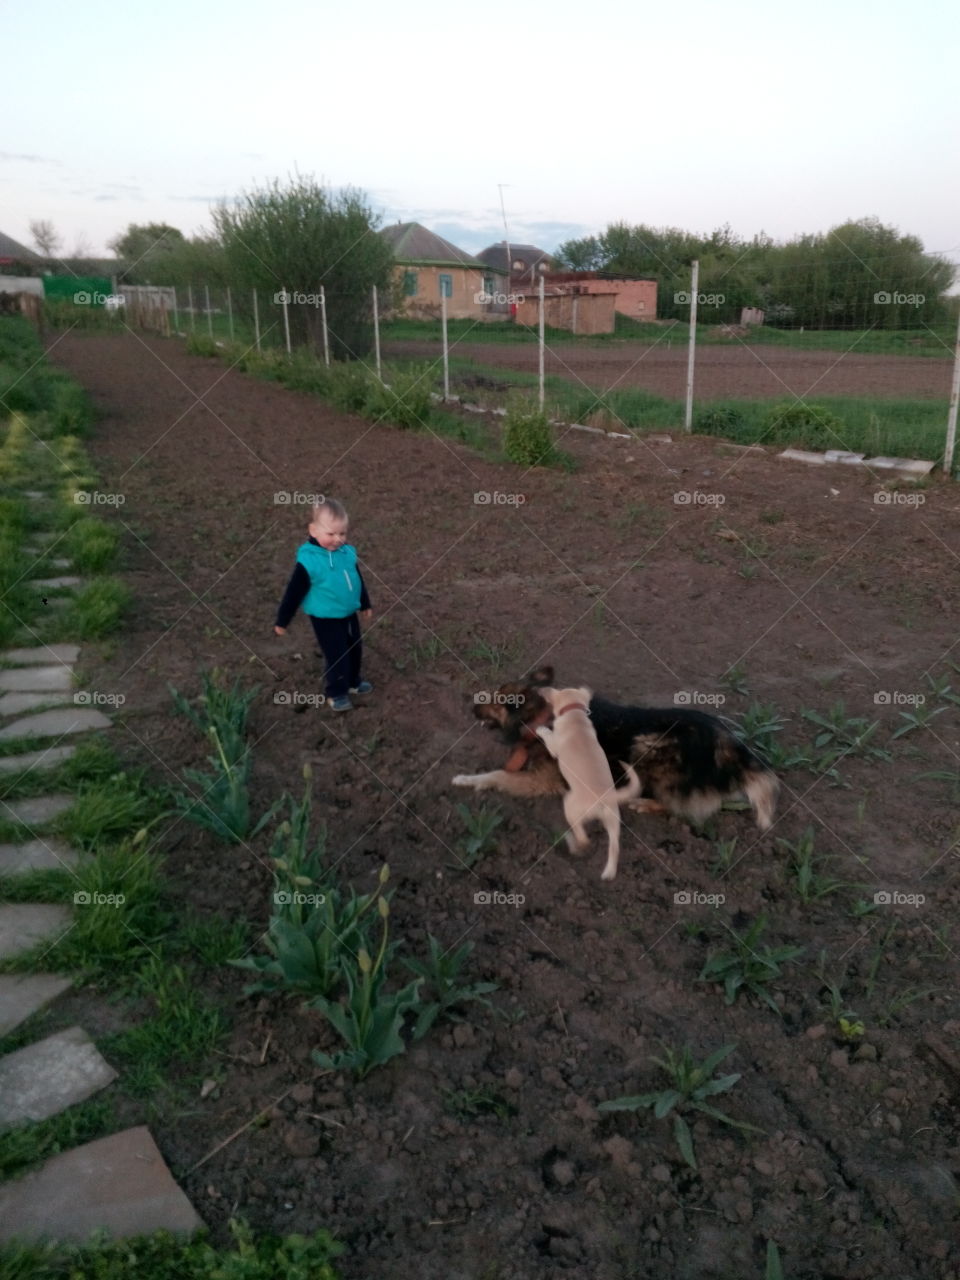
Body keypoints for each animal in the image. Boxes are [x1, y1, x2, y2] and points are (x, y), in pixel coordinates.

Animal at [453, 665, 783, 834]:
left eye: (493, 701)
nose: (470, 708)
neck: (541, 717)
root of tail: (728, 742)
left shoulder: (542, 780)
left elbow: (497, 775)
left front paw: (467, 780)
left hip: (648, 745)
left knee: (686, 808)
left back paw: (643, 803)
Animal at [537, 691, 642, 880]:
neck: (575, 715)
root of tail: (604, 796)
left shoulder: (554, 747)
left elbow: (548, 736)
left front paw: (541, 729)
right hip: (613, 821)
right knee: (614, 846)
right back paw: (608, 873)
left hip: (570, 806)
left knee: (583, 838)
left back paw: (570, 840)